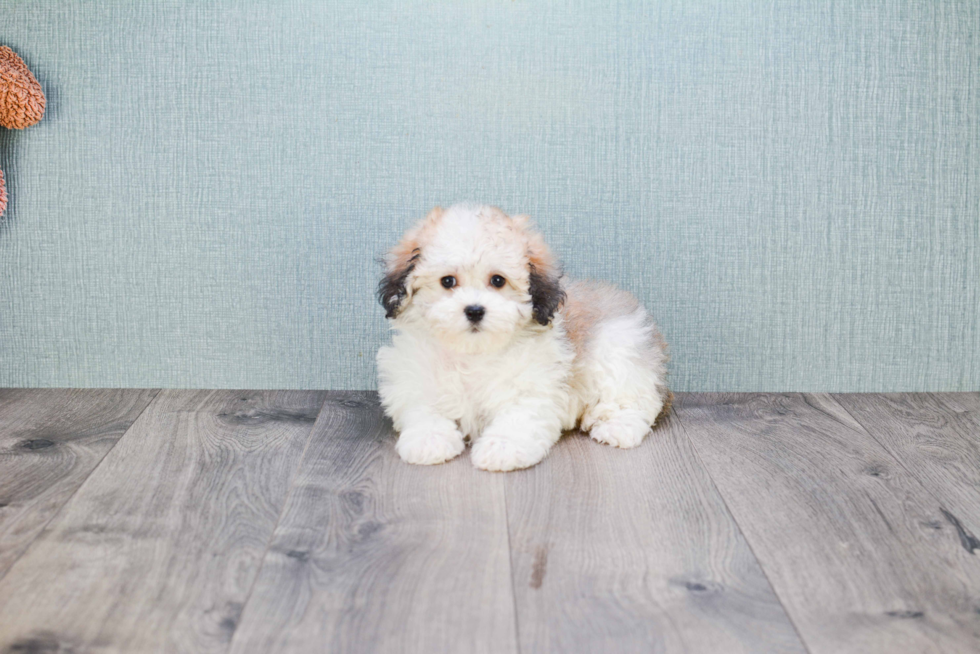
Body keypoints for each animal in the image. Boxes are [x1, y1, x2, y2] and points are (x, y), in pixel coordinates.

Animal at [376, 204, 668, 472]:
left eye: (498, 280)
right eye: (447, 281)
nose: (474, 310)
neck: (474, 353)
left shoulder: (534, 386)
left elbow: (517, 417)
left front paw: (502, 446)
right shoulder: (415, 377)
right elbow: (424, 409)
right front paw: (429, 439)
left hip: (618, 348)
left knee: (631, 399)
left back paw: (616, 427)